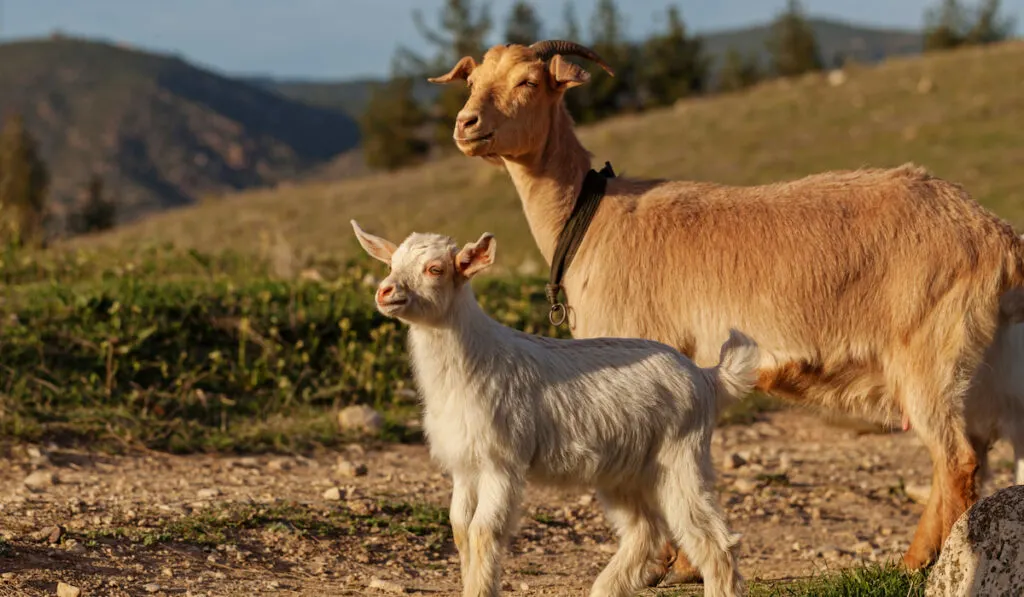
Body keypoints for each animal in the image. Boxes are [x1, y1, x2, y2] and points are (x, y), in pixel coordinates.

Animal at [425, 40, 1024, 585]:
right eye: (471, 82)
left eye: (528, 81)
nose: (466, 124)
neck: (591, 218)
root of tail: (997, 235)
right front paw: (679, 565)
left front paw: (670, 564)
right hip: (990, 366)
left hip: (929, 352)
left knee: (957, 460)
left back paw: (918, 564)